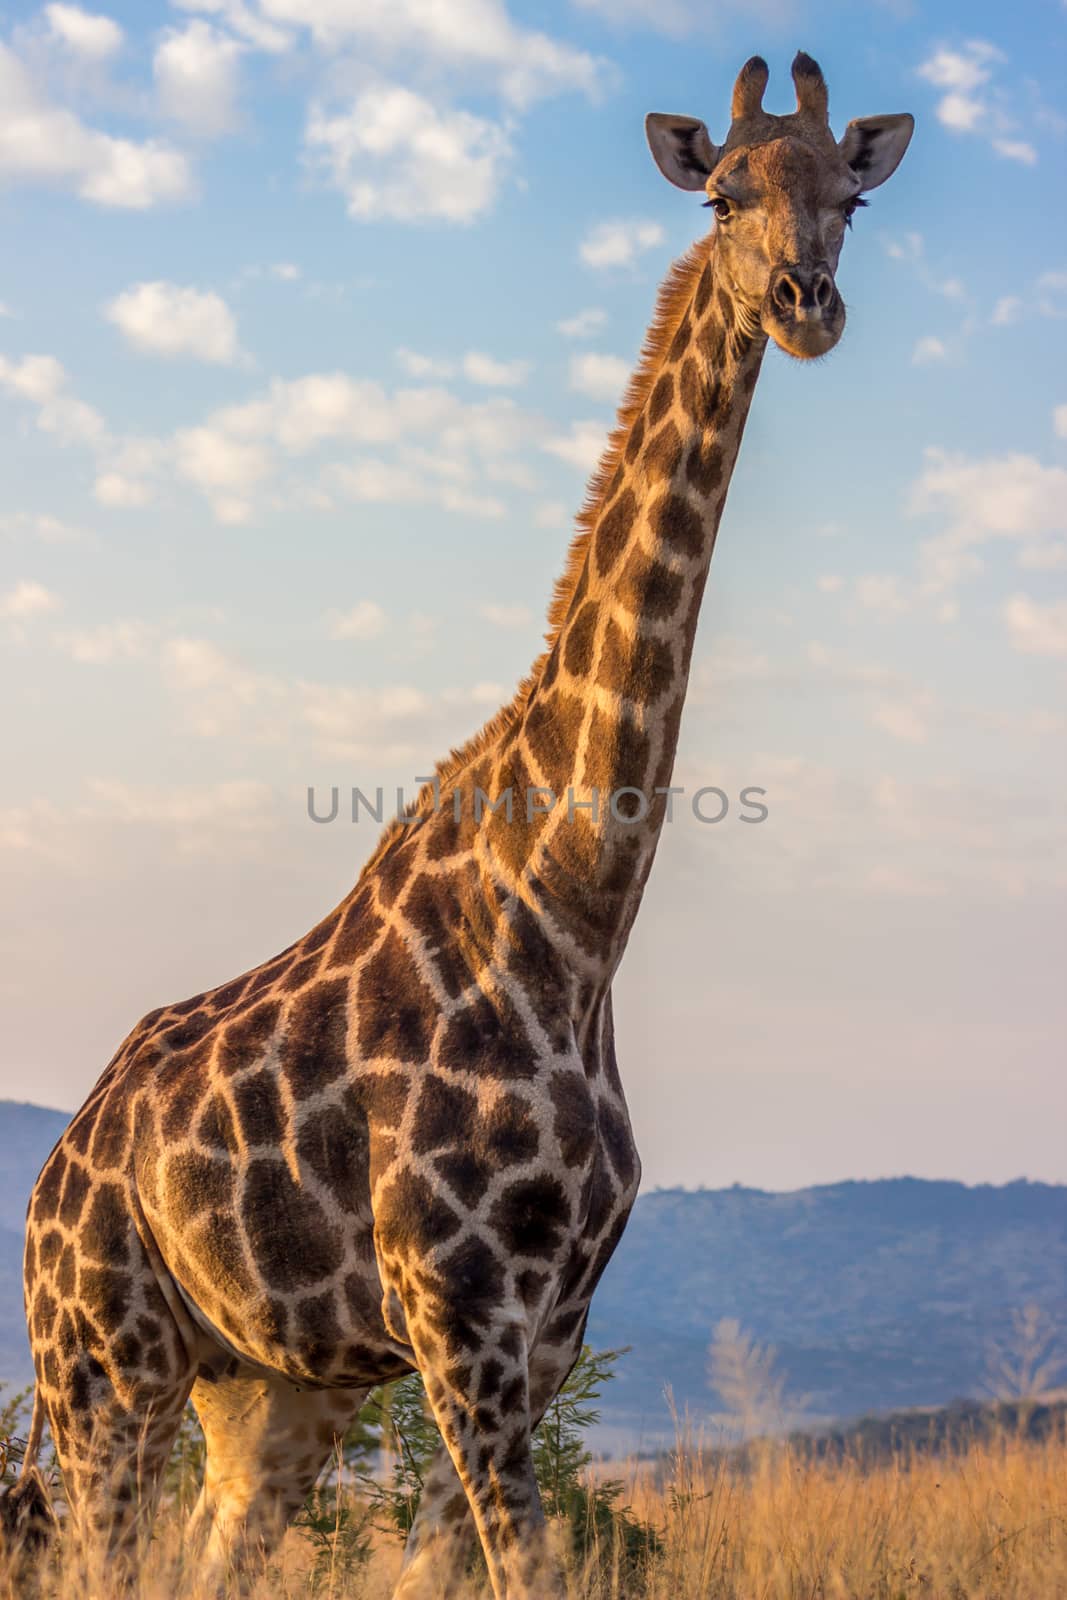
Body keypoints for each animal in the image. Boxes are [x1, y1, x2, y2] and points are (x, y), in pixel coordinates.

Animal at [4, 50, 915, 1600]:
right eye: (722, 195)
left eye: (847, 197)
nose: (804, 302)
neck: (579, 908)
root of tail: (53, 1177)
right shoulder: (460, 1312)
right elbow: (522, 1563)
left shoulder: (539, 1331)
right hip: (101, 1364)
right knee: (96, 1554)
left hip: (261, 1388)